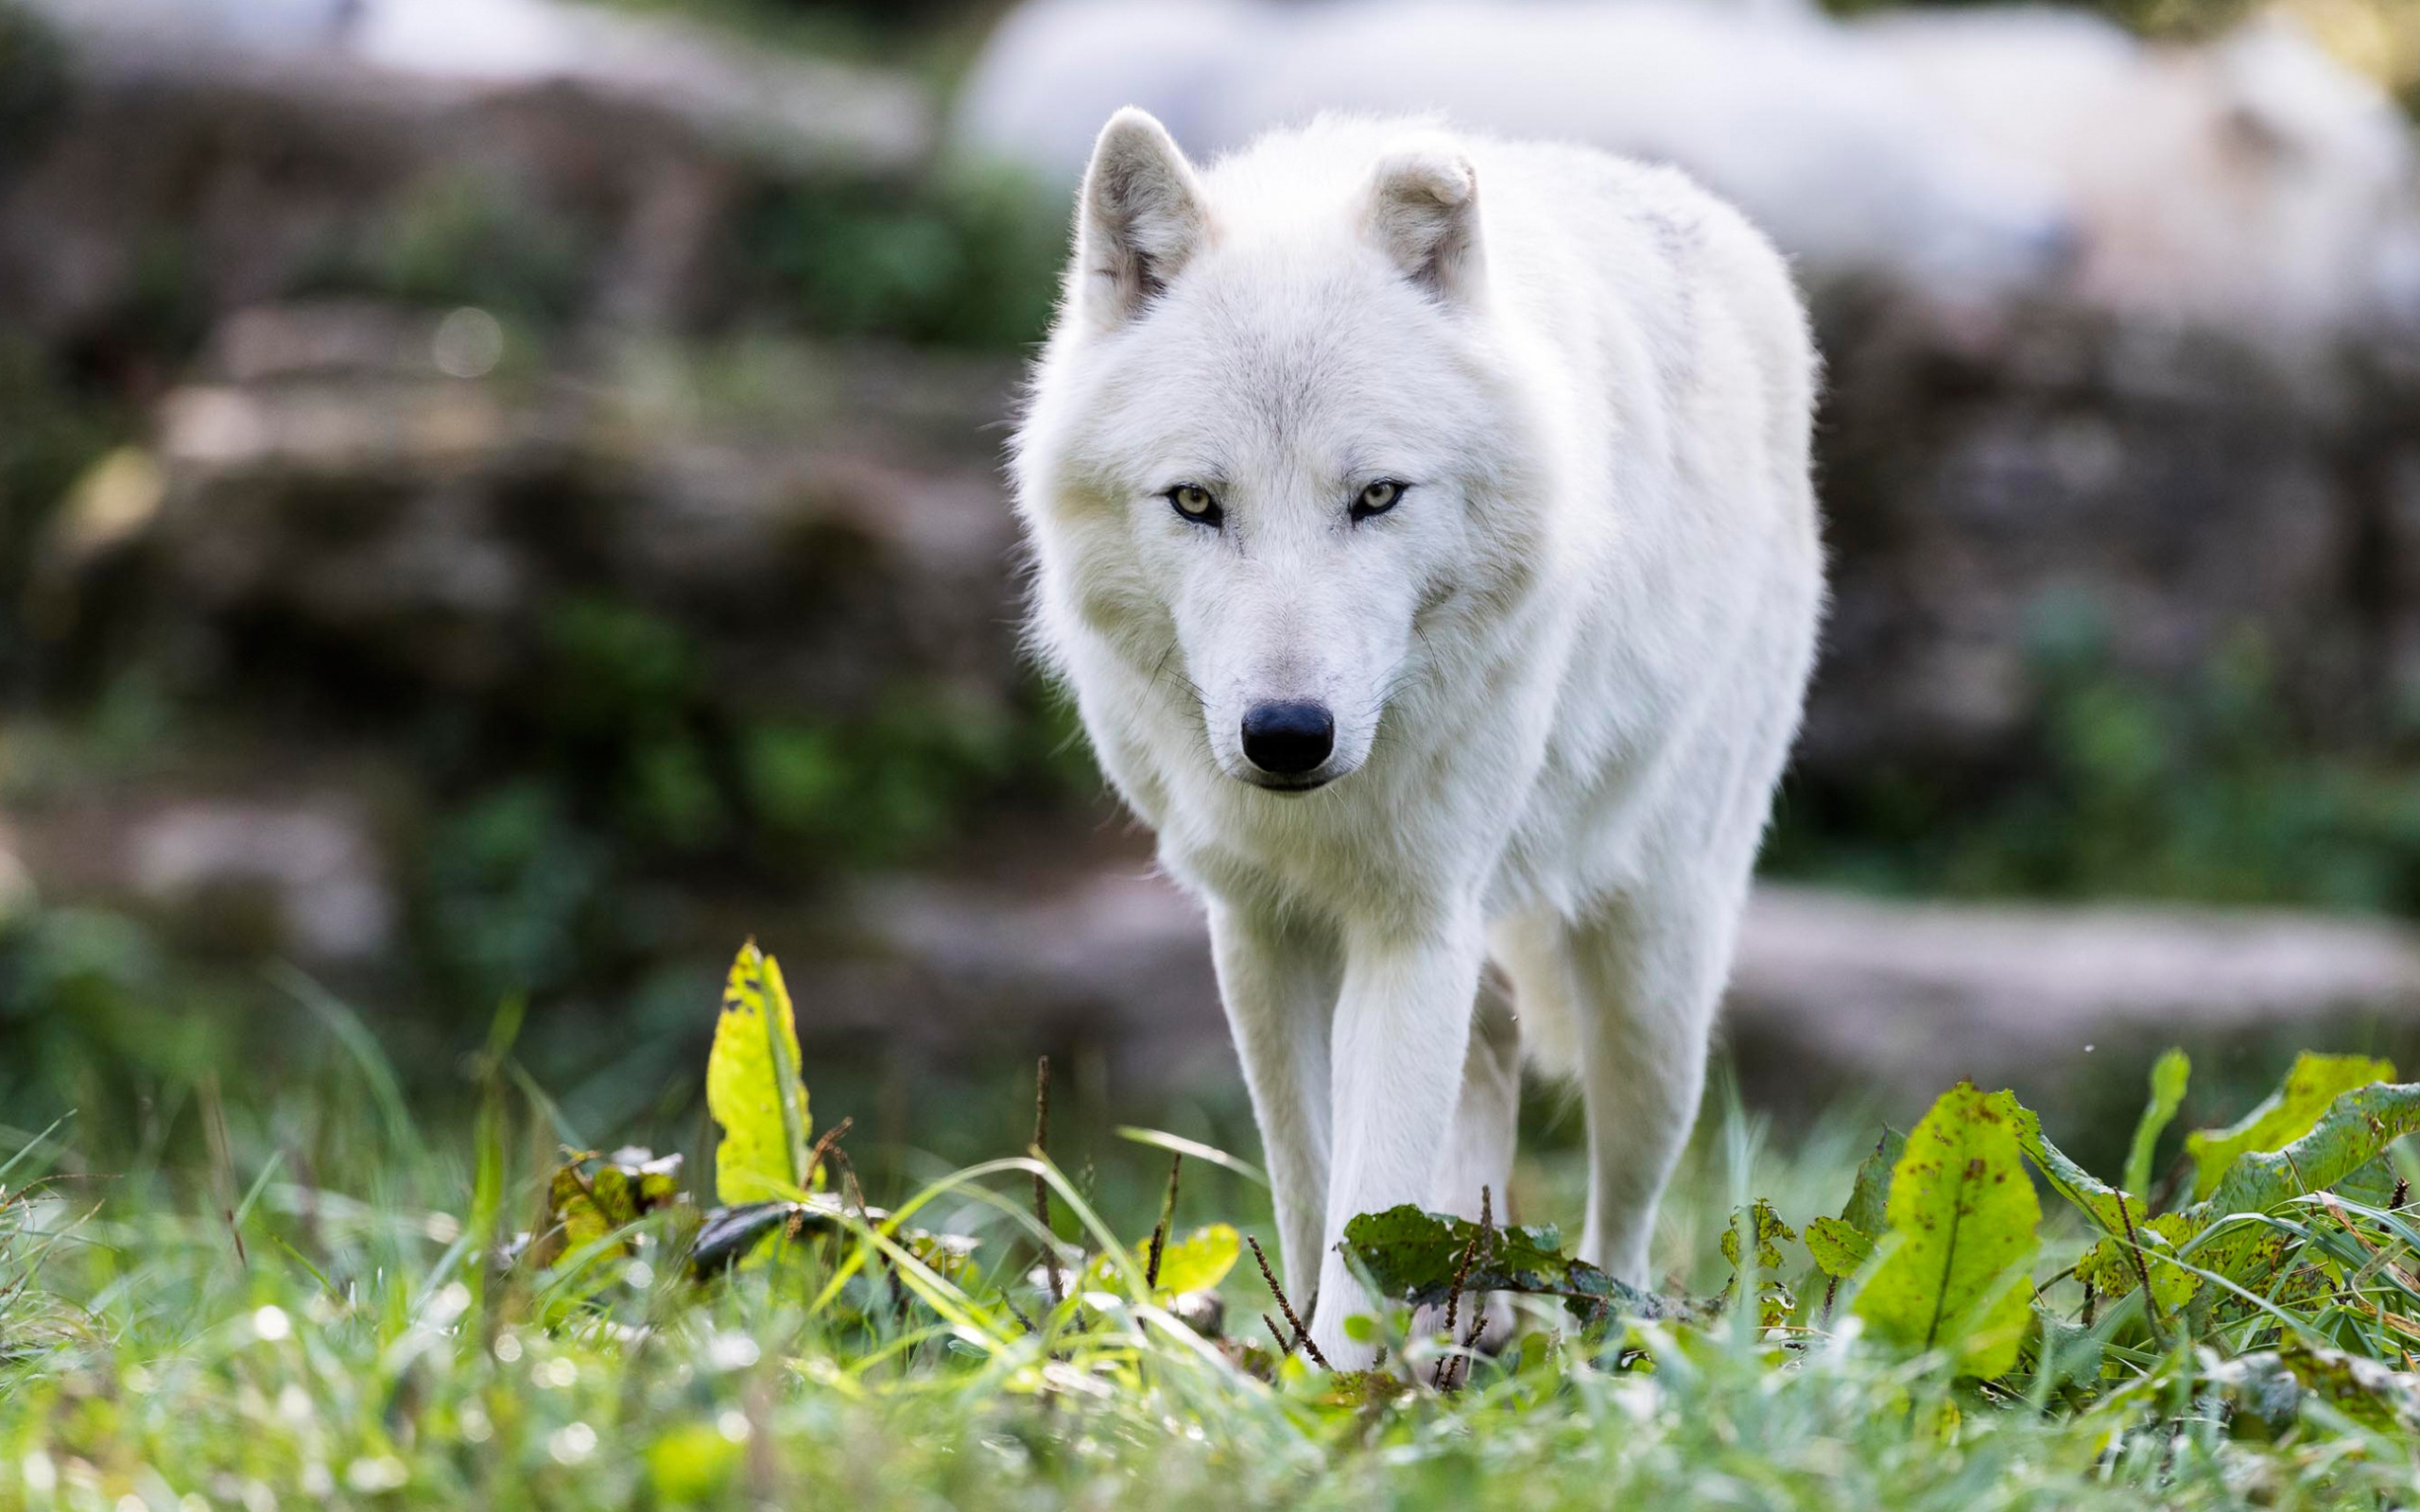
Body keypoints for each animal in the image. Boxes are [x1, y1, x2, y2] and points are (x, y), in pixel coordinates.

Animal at [1011, 106, 1820, 1354]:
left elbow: (1368, 1190)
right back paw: (1464, 1316)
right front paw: (1307, 1358)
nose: (1286, 734)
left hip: (1655, 982)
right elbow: (1311, 1186)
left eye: (1377, 496)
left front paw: (1344, 1381)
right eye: (1196, 501)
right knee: (1488, 1073)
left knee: (1626, 1204)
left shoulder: (1416, 924)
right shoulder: (1259, 924)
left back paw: (1598, 1343)